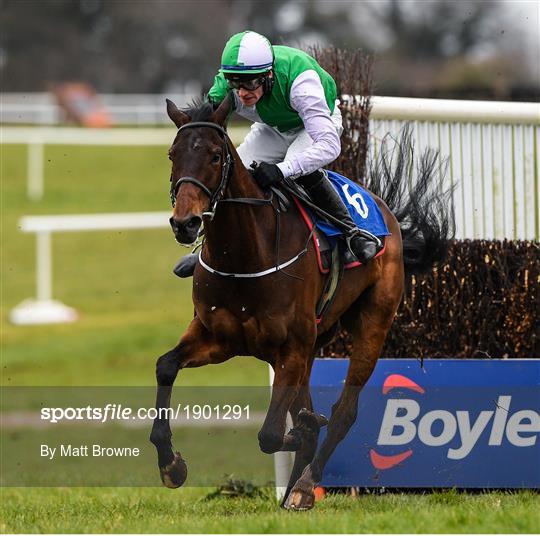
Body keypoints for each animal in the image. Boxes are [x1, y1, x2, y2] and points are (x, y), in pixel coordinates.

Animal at [150, 96, 454, 510]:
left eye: (214, 155)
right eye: (172, 154)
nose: (185, 223)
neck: (246, 255)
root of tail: (386, 213)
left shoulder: (290, 347)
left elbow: (272, 433)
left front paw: (304, 433)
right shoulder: (218, 337)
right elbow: (166, 366)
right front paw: (172, 465)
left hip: (371, 324)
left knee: (344, 411)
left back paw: (306, 486)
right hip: (311, 347)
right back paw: (293, 488)